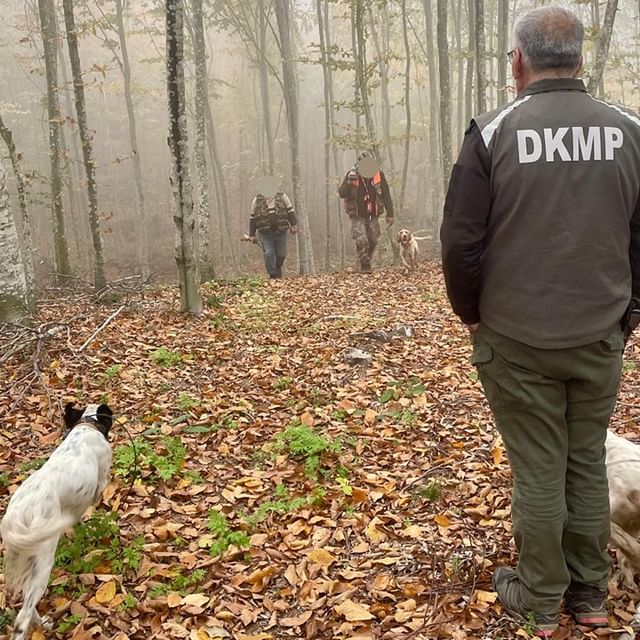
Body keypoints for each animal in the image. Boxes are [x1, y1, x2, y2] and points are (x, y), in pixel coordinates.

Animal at [1, 402, 114, 636]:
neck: (86, 426)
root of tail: (16, 517)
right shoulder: (101, 479)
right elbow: (99, 491)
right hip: (42, 561)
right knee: (23, 615)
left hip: (22, 559)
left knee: (25, 601)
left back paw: (41, 622)